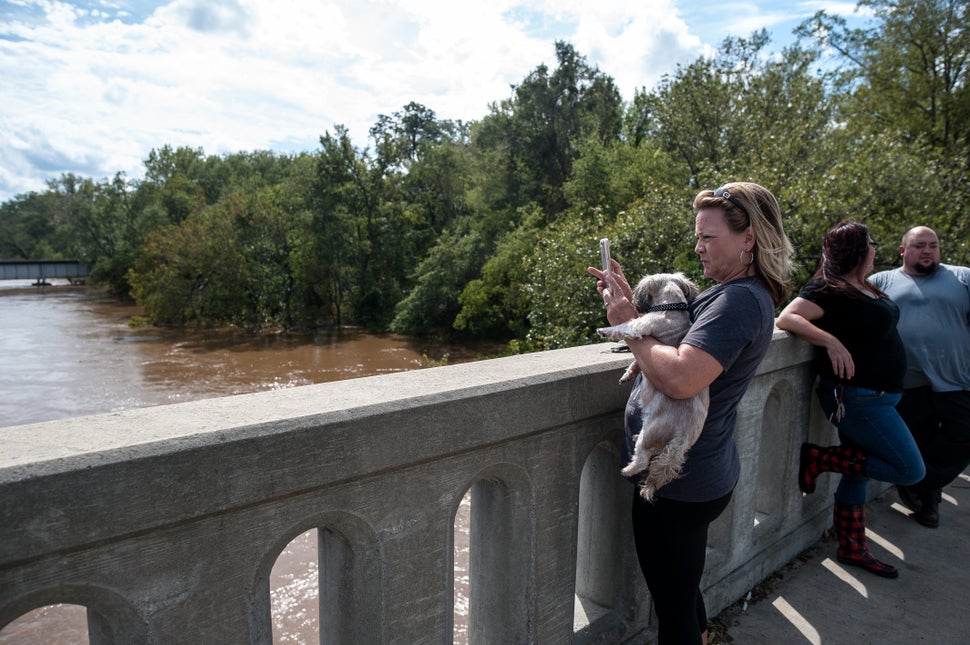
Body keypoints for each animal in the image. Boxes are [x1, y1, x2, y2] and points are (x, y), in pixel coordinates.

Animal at [592, 270, 708, 498]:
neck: (671, 308)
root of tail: (682, 436)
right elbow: (636, 362)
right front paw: (629, 373)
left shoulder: (641, 325)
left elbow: (624, 327)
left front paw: (605, 329)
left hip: (651, 431)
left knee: (642, 459)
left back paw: (627, 469)